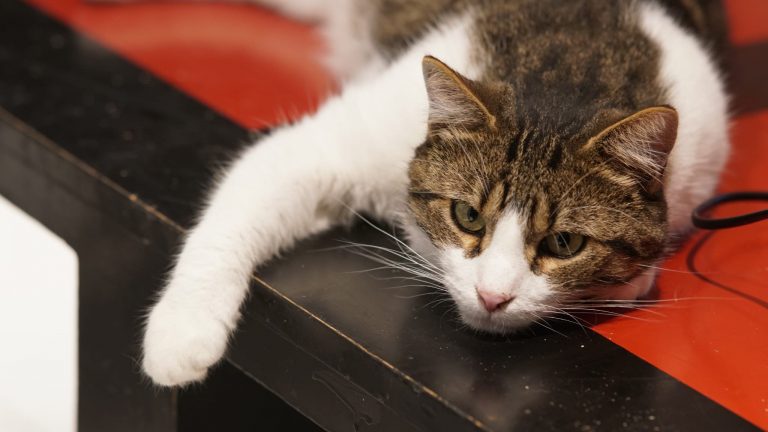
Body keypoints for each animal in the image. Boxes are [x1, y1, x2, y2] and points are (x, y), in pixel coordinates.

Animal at [142, 0, 729, 386]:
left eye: (564, 244)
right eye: (468, 215)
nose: (493, 297)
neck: (567, 75)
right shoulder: (337, 144)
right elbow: (236, 210)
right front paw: (181, 334)